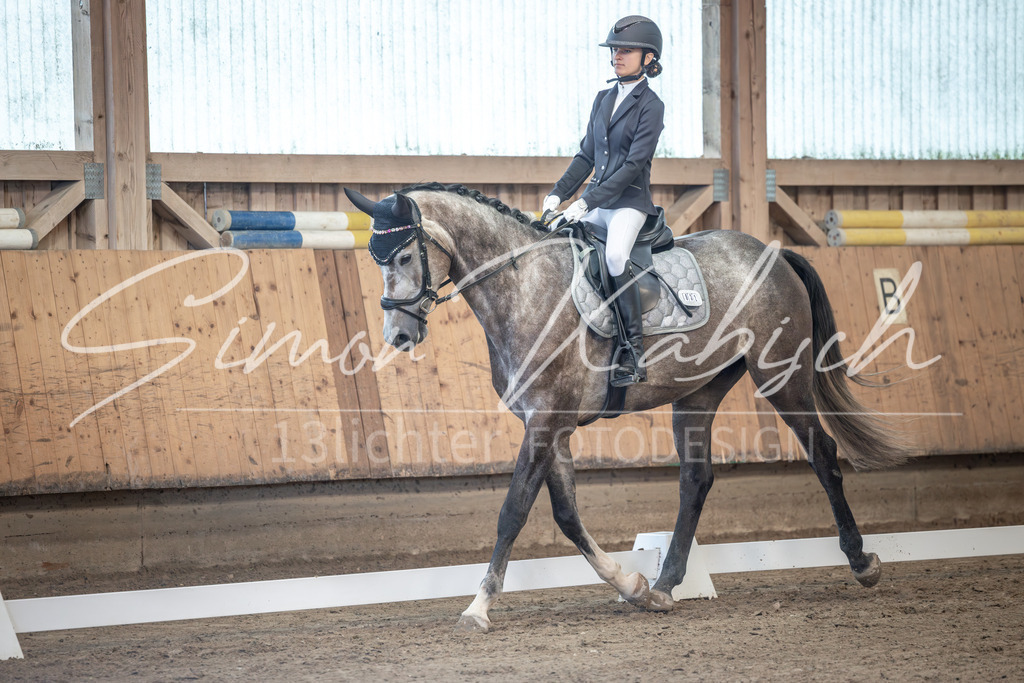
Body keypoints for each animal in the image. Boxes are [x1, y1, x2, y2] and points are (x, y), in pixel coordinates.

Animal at [343, 182, 909, 633]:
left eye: (404, 257)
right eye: (375, 260)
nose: (399, 335)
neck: (522, 287)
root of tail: (773, 251)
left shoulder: (545, 423)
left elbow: (513, 512)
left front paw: (478, 607)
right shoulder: (550, 427)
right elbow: (567, 516)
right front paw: (631, 586)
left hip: (782, 377)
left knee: (823, 455)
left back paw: (862, 562)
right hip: (698, 393)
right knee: (695, 480)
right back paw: (665, 584)